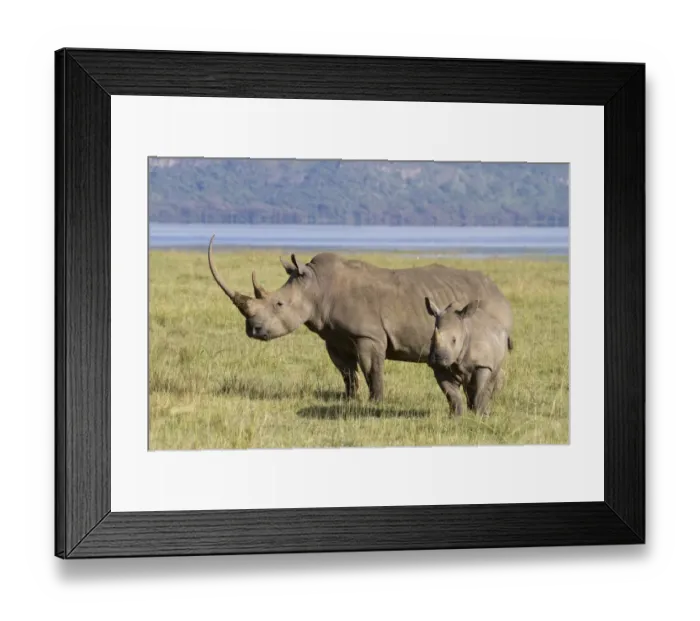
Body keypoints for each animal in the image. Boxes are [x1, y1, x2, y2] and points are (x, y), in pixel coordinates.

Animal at [207, 235, 513, 402]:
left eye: (279, 304)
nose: (252, 329)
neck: (316, 286)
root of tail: (500, 291)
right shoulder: (334, 337)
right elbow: (346, 372)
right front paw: (349, 400)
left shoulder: (369, 335)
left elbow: (371, 370)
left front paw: (376, 402)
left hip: (490, 309)